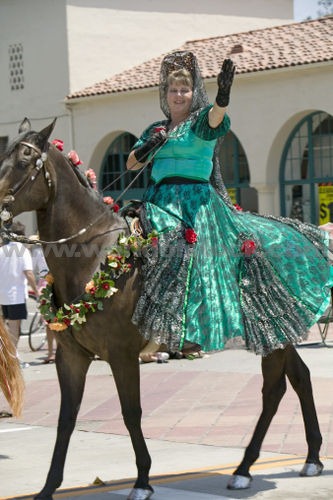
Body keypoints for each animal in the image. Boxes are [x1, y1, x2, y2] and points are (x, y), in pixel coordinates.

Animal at [0, 119, 322, 498]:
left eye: (23, 160)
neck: (94, 256)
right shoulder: (71, 356)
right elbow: (66, 419)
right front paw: (49, 487)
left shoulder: (122, 353)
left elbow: (131, 412)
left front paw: (142, 480)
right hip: (279, 334)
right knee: (299, 378)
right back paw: (307, 458)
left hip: (274, 331)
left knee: (274, 390)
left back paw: (248, 468)